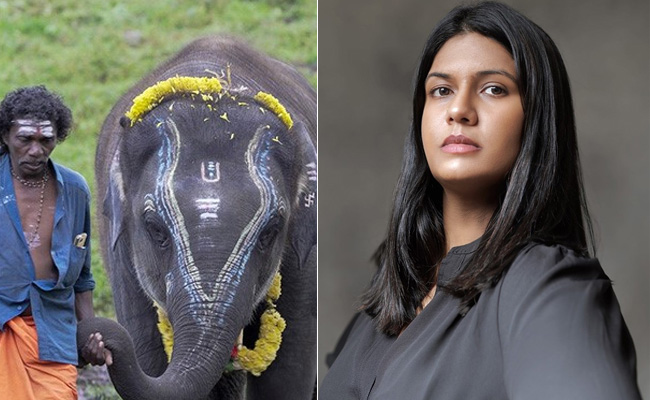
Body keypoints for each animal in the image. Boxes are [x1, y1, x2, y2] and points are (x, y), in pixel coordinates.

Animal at [79, 36, 317, 400]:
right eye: (155, 229)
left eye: (270, 231)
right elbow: (149, 357)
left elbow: (287, 374)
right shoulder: (121, 256)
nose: (96, 343)